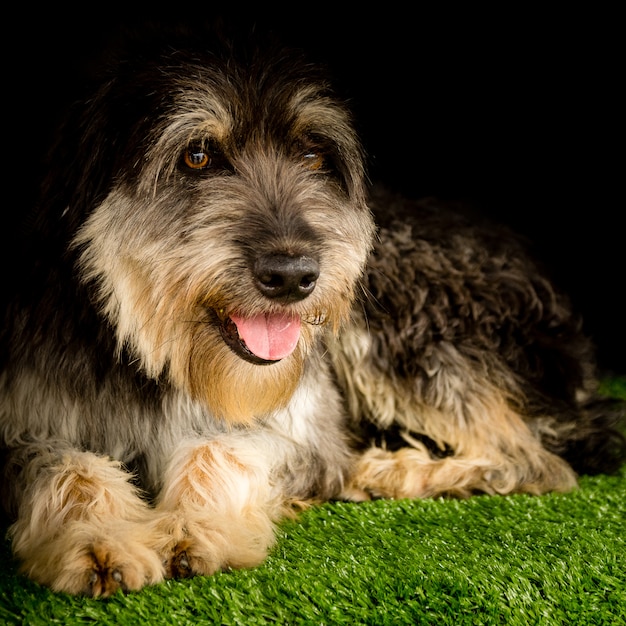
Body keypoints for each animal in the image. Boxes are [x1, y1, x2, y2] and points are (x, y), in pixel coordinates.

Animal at [1, 28, 624, 596]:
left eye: (313, 153)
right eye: (197, 155)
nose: (293, 277)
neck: (146, 353)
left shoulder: (304, 430)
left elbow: (223, 446)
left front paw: (194, 525)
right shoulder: (24, 421)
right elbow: (66, 467)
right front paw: (97, 538)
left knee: (536, 461)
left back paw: (397, 469)